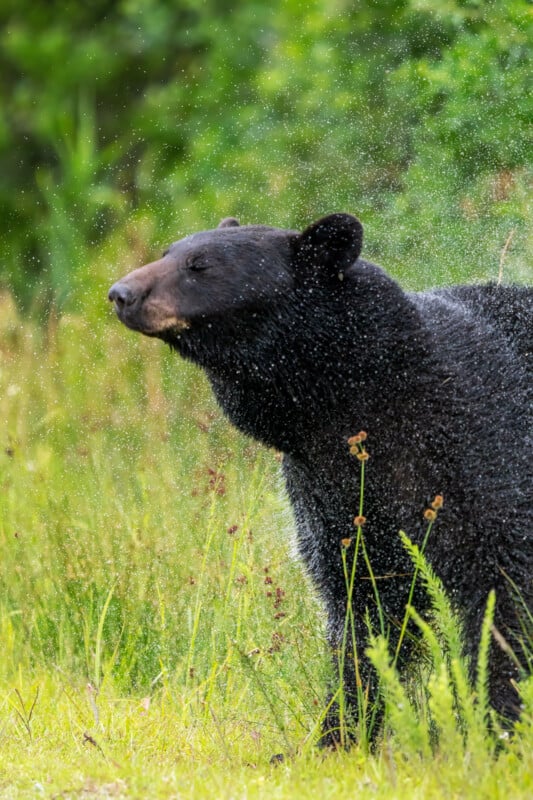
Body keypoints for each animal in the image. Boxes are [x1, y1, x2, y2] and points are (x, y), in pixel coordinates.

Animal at [109, 212, 532, 745]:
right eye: (169, 251)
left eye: (200, 265)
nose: (121, 293)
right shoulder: (332, 495)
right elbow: (363, 608)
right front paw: (339, 732)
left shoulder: (475, 453)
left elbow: (501, 589)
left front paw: (500, 723)